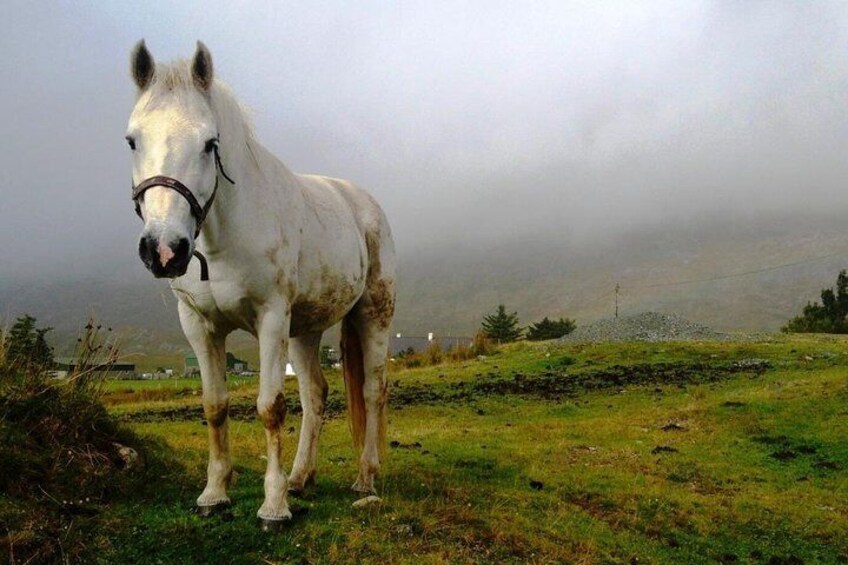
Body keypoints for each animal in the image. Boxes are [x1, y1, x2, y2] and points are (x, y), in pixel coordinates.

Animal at [124, 40, 396, 528]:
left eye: (210, 143)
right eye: (132, 140)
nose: (165, 249)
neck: (222, 238)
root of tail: (365, 204)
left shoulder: (270, 320)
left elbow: (271, 408)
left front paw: (273, 506)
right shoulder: (199, 326)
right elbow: (215, 406)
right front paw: (215, 494)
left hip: (373, 316)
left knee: (371, 390)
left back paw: (365, 477)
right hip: (305, 330)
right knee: (316, 395)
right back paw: (300, 478)